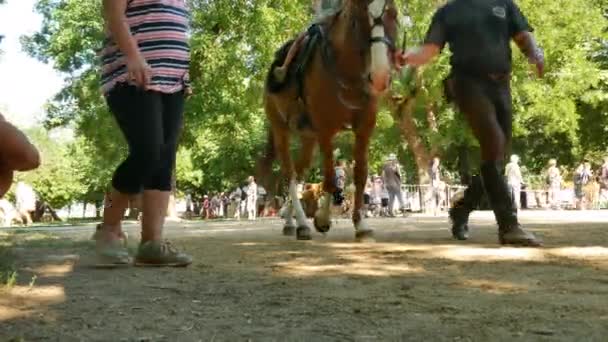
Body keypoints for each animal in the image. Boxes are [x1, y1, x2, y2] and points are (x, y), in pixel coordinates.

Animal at [256, 0, 400, 240]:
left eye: (393, 16)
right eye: (356, 21)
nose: (380, 76)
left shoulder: (364, 127)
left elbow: (359, 174)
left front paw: (360, 224)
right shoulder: (325, 129)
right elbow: (330, 177)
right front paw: (322, 219)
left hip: (308, 138)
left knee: (300, 172)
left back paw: (290, 220)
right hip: (280, 129)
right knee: (290, 174)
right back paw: (301, 224)